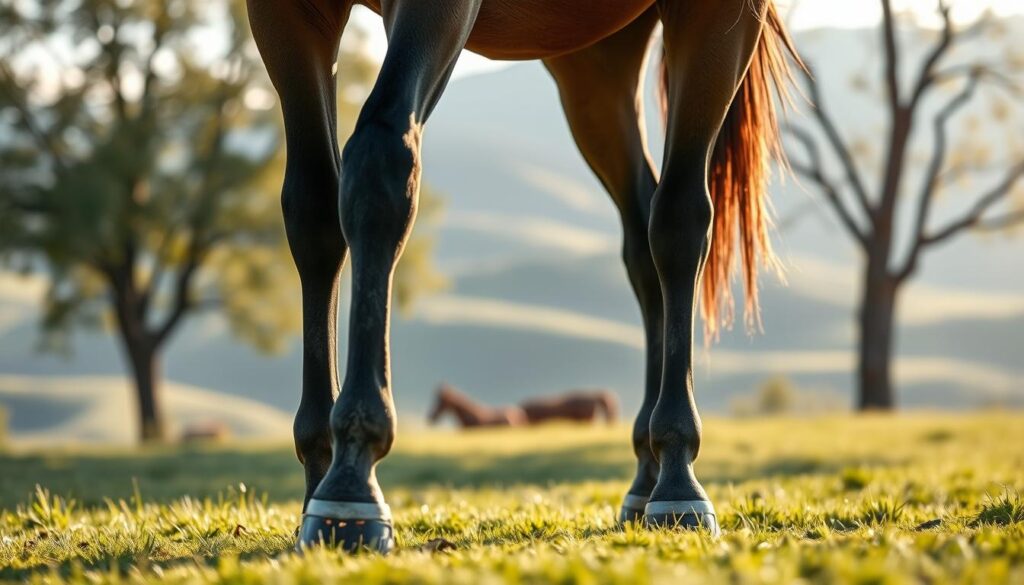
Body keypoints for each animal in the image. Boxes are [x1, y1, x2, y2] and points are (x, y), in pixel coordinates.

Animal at [247, 0, 797, 552]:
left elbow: (380, 156)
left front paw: (352, 475)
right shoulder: (284, 15)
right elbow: (314, 209)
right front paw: (322, 478)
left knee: (672, 221)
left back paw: (673, 476)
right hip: (596, 64)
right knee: (642, 233)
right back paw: (647, 474)